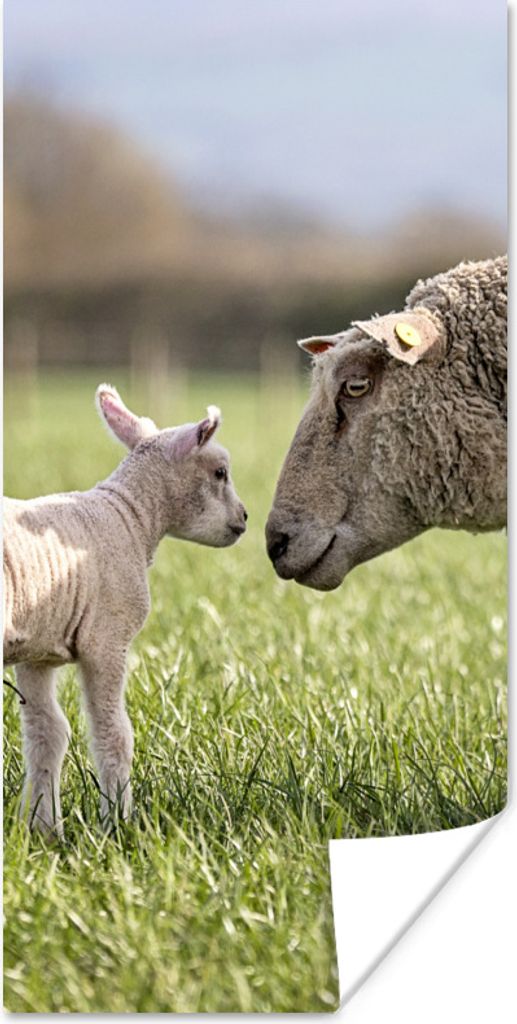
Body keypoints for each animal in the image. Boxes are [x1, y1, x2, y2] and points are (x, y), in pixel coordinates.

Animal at [3, 384, 247, 833]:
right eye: (220, 472)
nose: (244, 517)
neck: (131, 517)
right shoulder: (107, 639)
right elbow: (114, 733)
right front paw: (118, 823)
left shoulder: (37, 651)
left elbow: (47, 735)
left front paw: (44, 830)